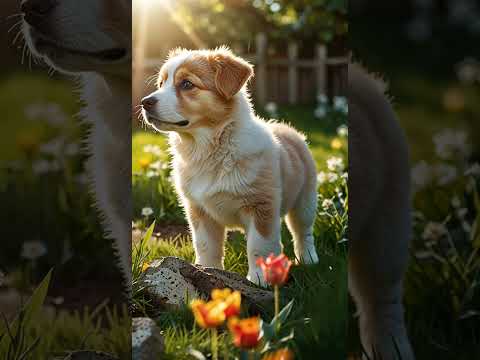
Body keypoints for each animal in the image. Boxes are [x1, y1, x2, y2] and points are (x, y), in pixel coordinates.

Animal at [142, 48, 318, 284]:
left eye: (187, 84)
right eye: (161, 83)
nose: (145, 102)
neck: (208, 150)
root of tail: (285, 128)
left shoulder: (261, 206)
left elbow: (259, 245)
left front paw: (260, 279)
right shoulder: (199, 210)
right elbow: (206, 246)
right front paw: (207, 270)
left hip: (305, 199)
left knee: (303, 231)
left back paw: (308, 259)